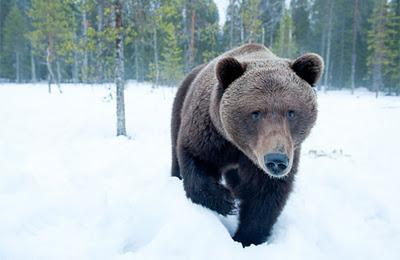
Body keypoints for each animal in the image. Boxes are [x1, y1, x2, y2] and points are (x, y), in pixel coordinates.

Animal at [170, 43, 324, 247]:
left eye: (291, 112)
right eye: (255, 112)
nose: (276, 160)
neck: (238, 147)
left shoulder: (280, 155)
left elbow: (264, 196)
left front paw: (247, 238)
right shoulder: (211, 135)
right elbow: (196, 158)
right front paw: (225, 201)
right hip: (179, 104)